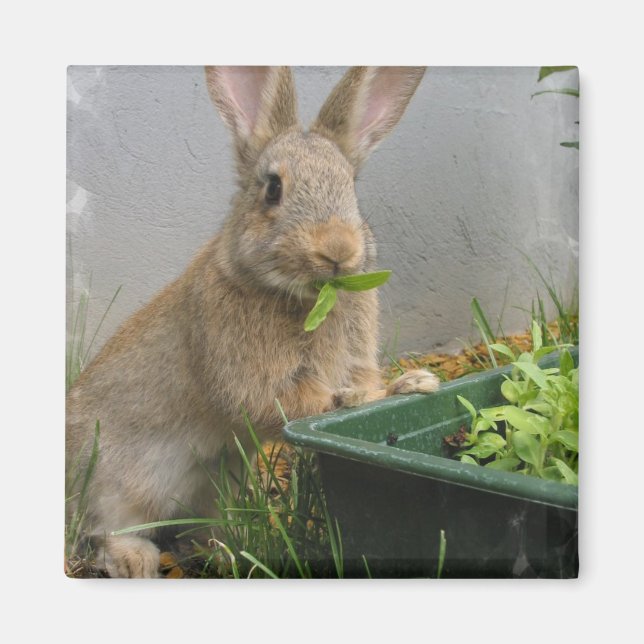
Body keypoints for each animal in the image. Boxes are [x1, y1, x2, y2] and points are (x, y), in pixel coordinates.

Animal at [66, 66, 440, 578]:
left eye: (351, 187)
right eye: (273, 189)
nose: (337, 249)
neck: (303, 296)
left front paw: (415, 383)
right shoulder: (252, 379)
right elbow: (300, 403)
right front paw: (383, 392)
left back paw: (227, 548)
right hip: (118, 484)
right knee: (105, 530)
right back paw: (137, 560)